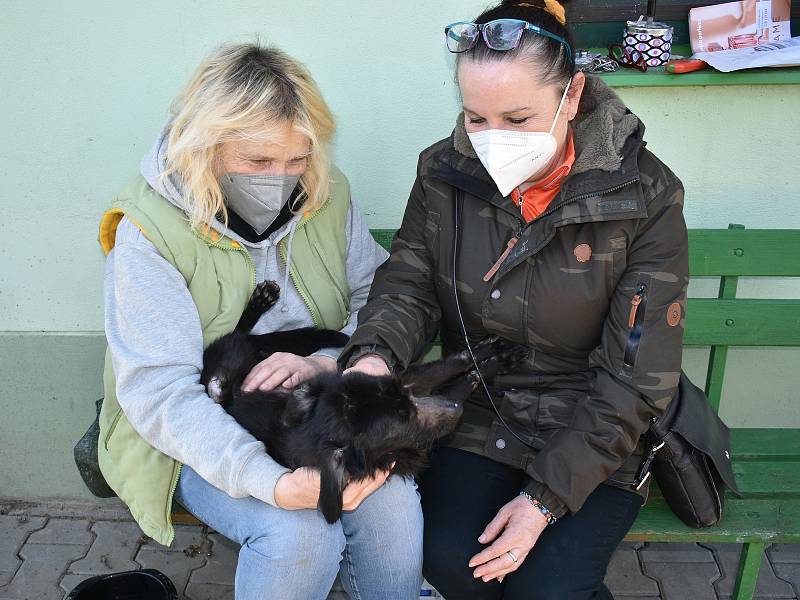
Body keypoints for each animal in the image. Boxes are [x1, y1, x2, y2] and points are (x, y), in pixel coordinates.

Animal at [202, 282, 524, 520]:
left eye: (400, 397)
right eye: (403, 423)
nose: (453, 409)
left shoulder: (402, 379)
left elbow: (452, 364)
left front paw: (489, 356)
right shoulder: (423, 433)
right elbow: (458, 378)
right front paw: (492, 363)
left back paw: (261, 301)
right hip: (225, 371)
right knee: (236, 336)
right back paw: (259, 303)